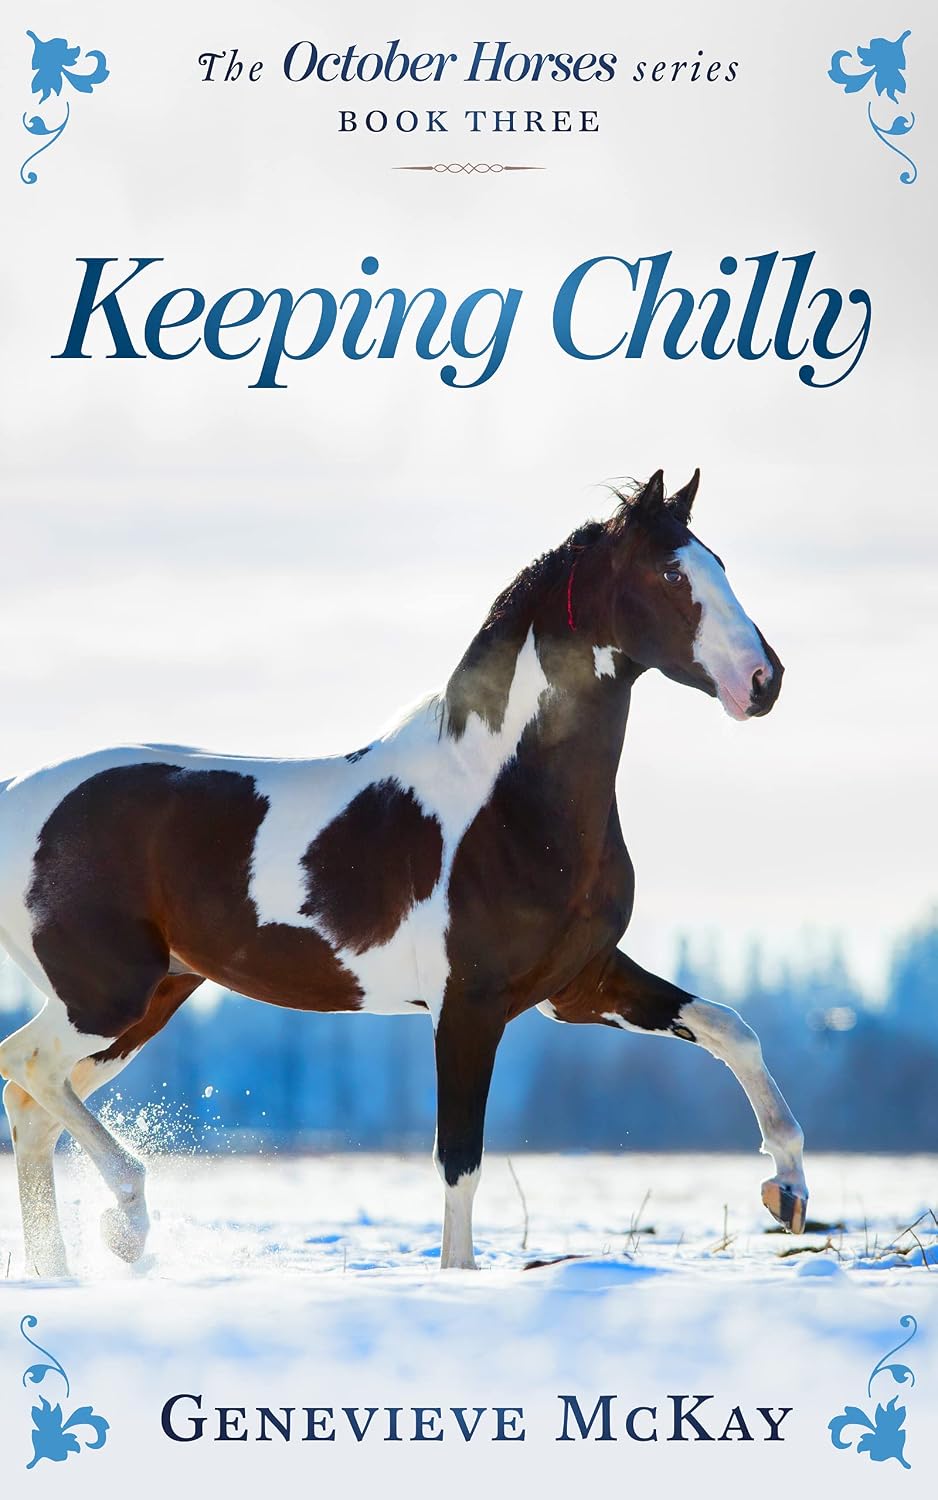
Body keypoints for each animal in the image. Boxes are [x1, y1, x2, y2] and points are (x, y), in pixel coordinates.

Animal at [0, 468, 807, 1276]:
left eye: (719, 565)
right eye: (671, 574)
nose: (764, 681)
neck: (509, 800)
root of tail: (15, 797)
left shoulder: (576, 983)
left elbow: (731, 1028)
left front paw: (787, 1191)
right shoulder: (469, 1005)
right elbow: (459, 1161)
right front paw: (456, 1279)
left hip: (148, 999)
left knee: (32, 1105)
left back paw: (61, 1273)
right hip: (105, 998)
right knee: (26, 1066)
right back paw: (127, 1224)